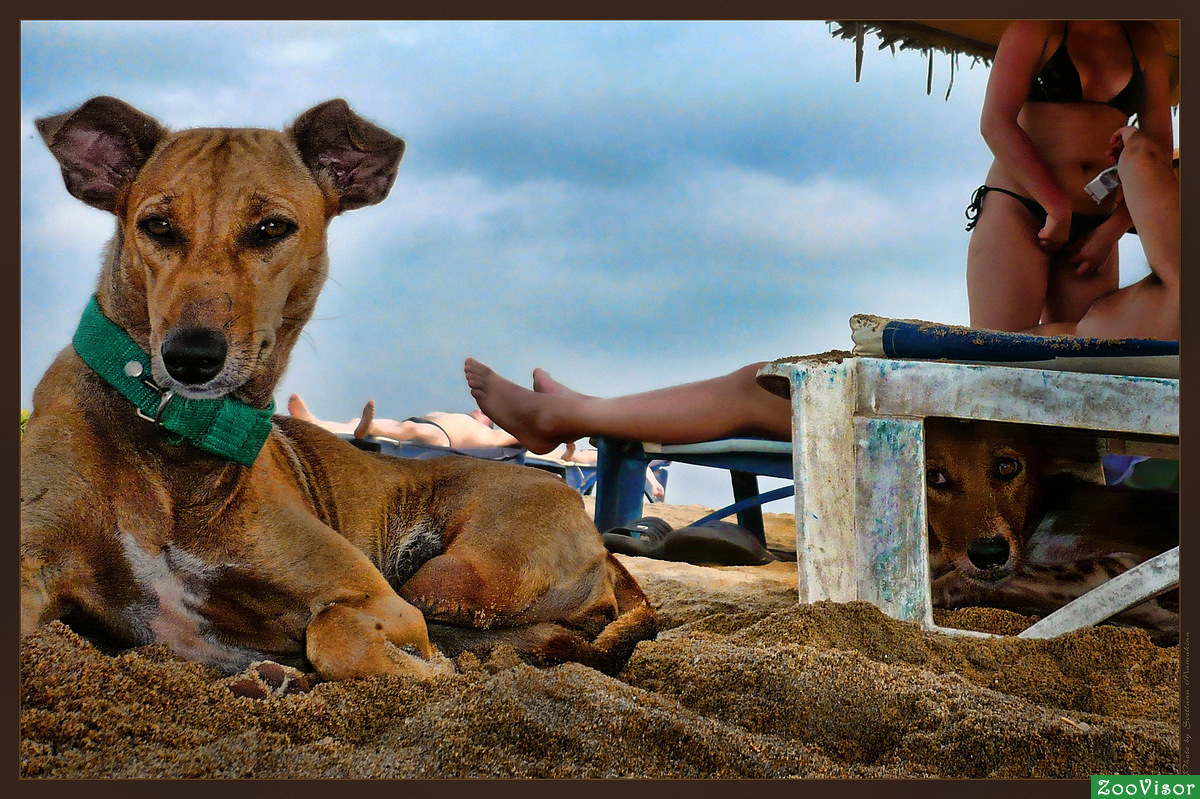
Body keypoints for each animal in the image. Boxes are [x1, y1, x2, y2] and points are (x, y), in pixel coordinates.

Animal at [21, 96, 657, 681]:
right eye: (156, 226)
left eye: (272, 229)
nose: (189, 359)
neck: (173, 447)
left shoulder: (374, 599)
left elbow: (338, 638)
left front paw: (422, 672)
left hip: (457, 576)